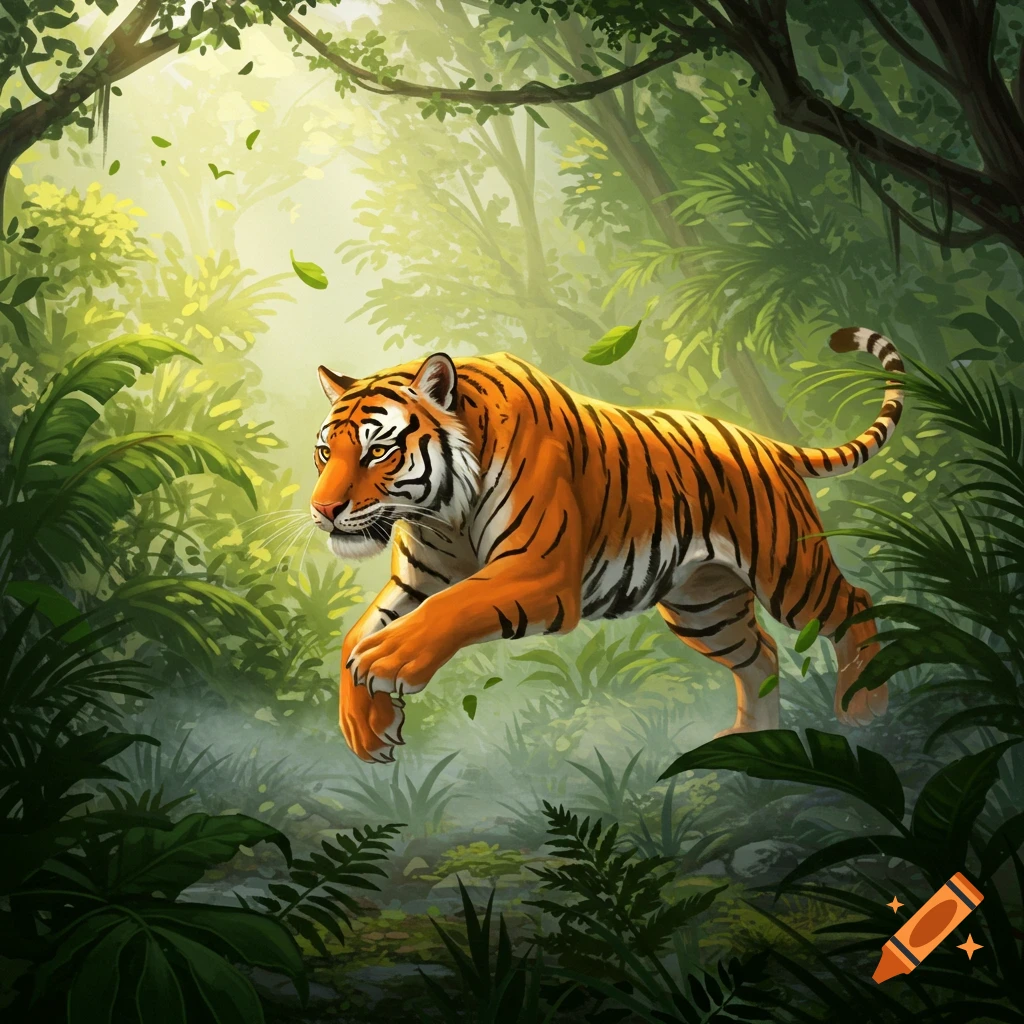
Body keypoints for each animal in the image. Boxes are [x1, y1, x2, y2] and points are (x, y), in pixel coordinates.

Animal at [310, 327, 903, 763]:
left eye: (378, 450)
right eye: (325, 452)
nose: (323, 510)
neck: (441, 513)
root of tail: (763, 441)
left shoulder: (540, 572)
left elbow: (451, 607)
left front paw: (388, 660)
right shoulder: (417, 578)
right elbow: (357, 634)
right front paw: (368, 728)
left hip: (789, 571)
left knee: (853, 604)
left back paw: (864, 708)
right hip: (704, 606)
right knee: (761, 655)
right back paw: (749, 741)